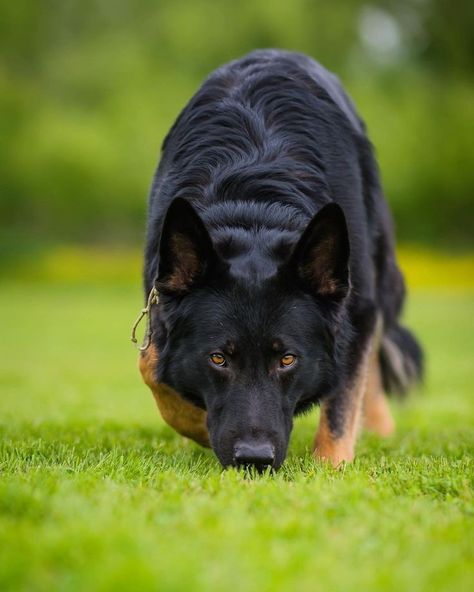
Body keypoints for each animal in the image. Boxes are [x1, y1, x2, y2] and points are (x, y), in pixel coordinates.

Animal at [137, 48, 422, 470]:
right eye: (218, 358)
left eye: (287, 360)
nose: (254, 459)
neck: (253, 208)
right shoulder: (158, 297)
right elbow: (152, 368)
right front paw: (198, 425)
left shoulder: (357, 307)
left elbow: (342, 401)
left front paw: (330, 467)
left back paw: (379, 425)